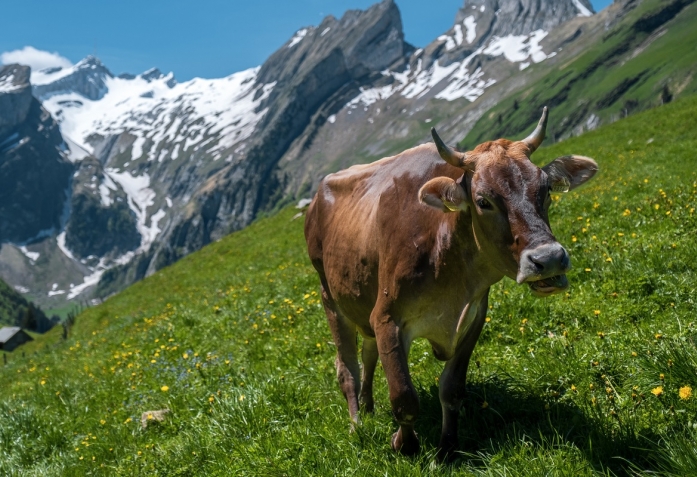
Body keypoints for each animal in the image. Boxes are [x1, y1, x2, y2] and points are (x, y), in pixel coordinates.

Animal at [304, 109, 600, 458]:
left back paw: (367, 405)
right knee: (347, 368)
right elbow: (404, 397)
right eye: (483, 201)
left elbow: (452, 390)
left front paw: (446, 449)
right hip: (330, 297)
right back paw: (356, 424)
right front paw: (404, 445)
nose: (549, 259)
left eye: (546, 190)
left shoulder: (473, 316)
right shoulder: (387, 317)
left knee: (368, 354)